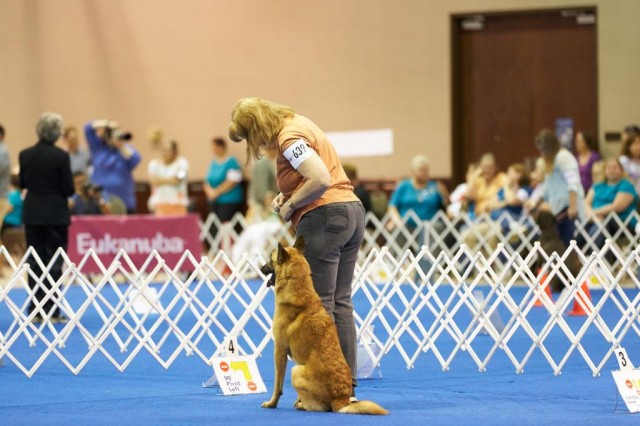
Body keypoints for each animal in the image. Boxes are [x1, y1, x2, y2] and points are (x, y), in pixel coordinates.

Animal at [258, 235, 388, 414]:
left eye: (271, 259)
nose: (261, 268)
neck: (300, 290)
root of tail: (340, 400)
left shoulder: (279, 350)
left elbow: (278, 385)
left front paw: (272, 403)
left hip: (295, 371)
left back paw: (303, 406)